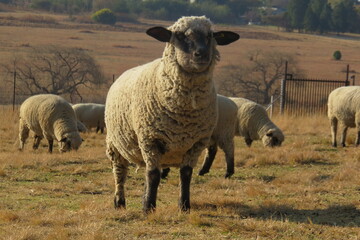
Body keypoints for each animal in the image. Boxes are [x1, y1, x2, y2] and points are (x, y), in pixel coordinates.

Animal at [104, 15, 239, 213]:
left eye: (210, 36)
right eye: (180, 36)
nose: (201, 54)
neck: (183, 113)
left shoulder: (196, 143)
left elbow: (186, 175)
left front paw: (184, 206)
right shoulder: (150, 139)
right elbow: (153, 175)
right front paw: (149, 207)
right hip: (115, 144)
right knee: (120, 173)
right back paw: (119, 202)